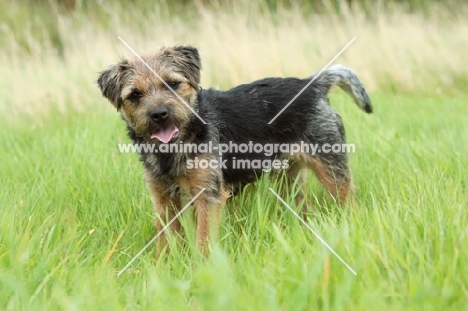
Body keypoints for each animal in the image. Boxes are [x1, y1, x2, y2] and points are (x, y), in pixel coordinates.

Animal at [96, 45, 372, 256]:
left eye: (173, 84)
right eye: (134, 95)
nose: (159, 114)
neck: (177, 145)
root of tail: (312, 84)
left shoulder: (208, 195)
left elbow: (204, 237)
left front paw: (202, 267)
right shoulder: (163, 200)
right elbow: (166, 239)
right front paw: (163, 268)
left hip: (331, 166)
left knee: (349, 200)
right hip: (287, 179)